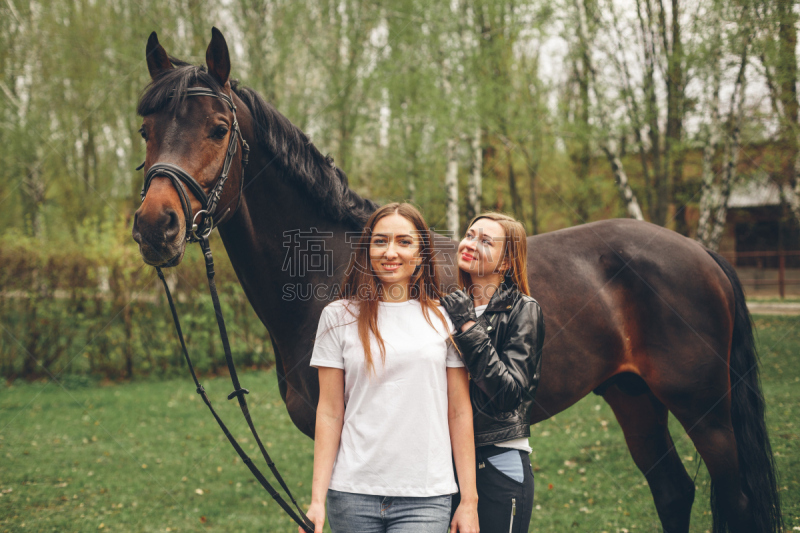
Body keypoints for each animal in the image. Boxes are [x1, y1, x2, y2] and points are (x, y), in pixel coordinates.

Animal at [131, 28, 780, 532]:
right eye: (146, 130)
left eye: (218, 128)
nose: (155, 226)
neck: (333, 271)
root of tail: (699, 251)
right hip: (633, 397)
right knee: (673, 491)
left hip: (706, 412)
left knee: (735, 499)